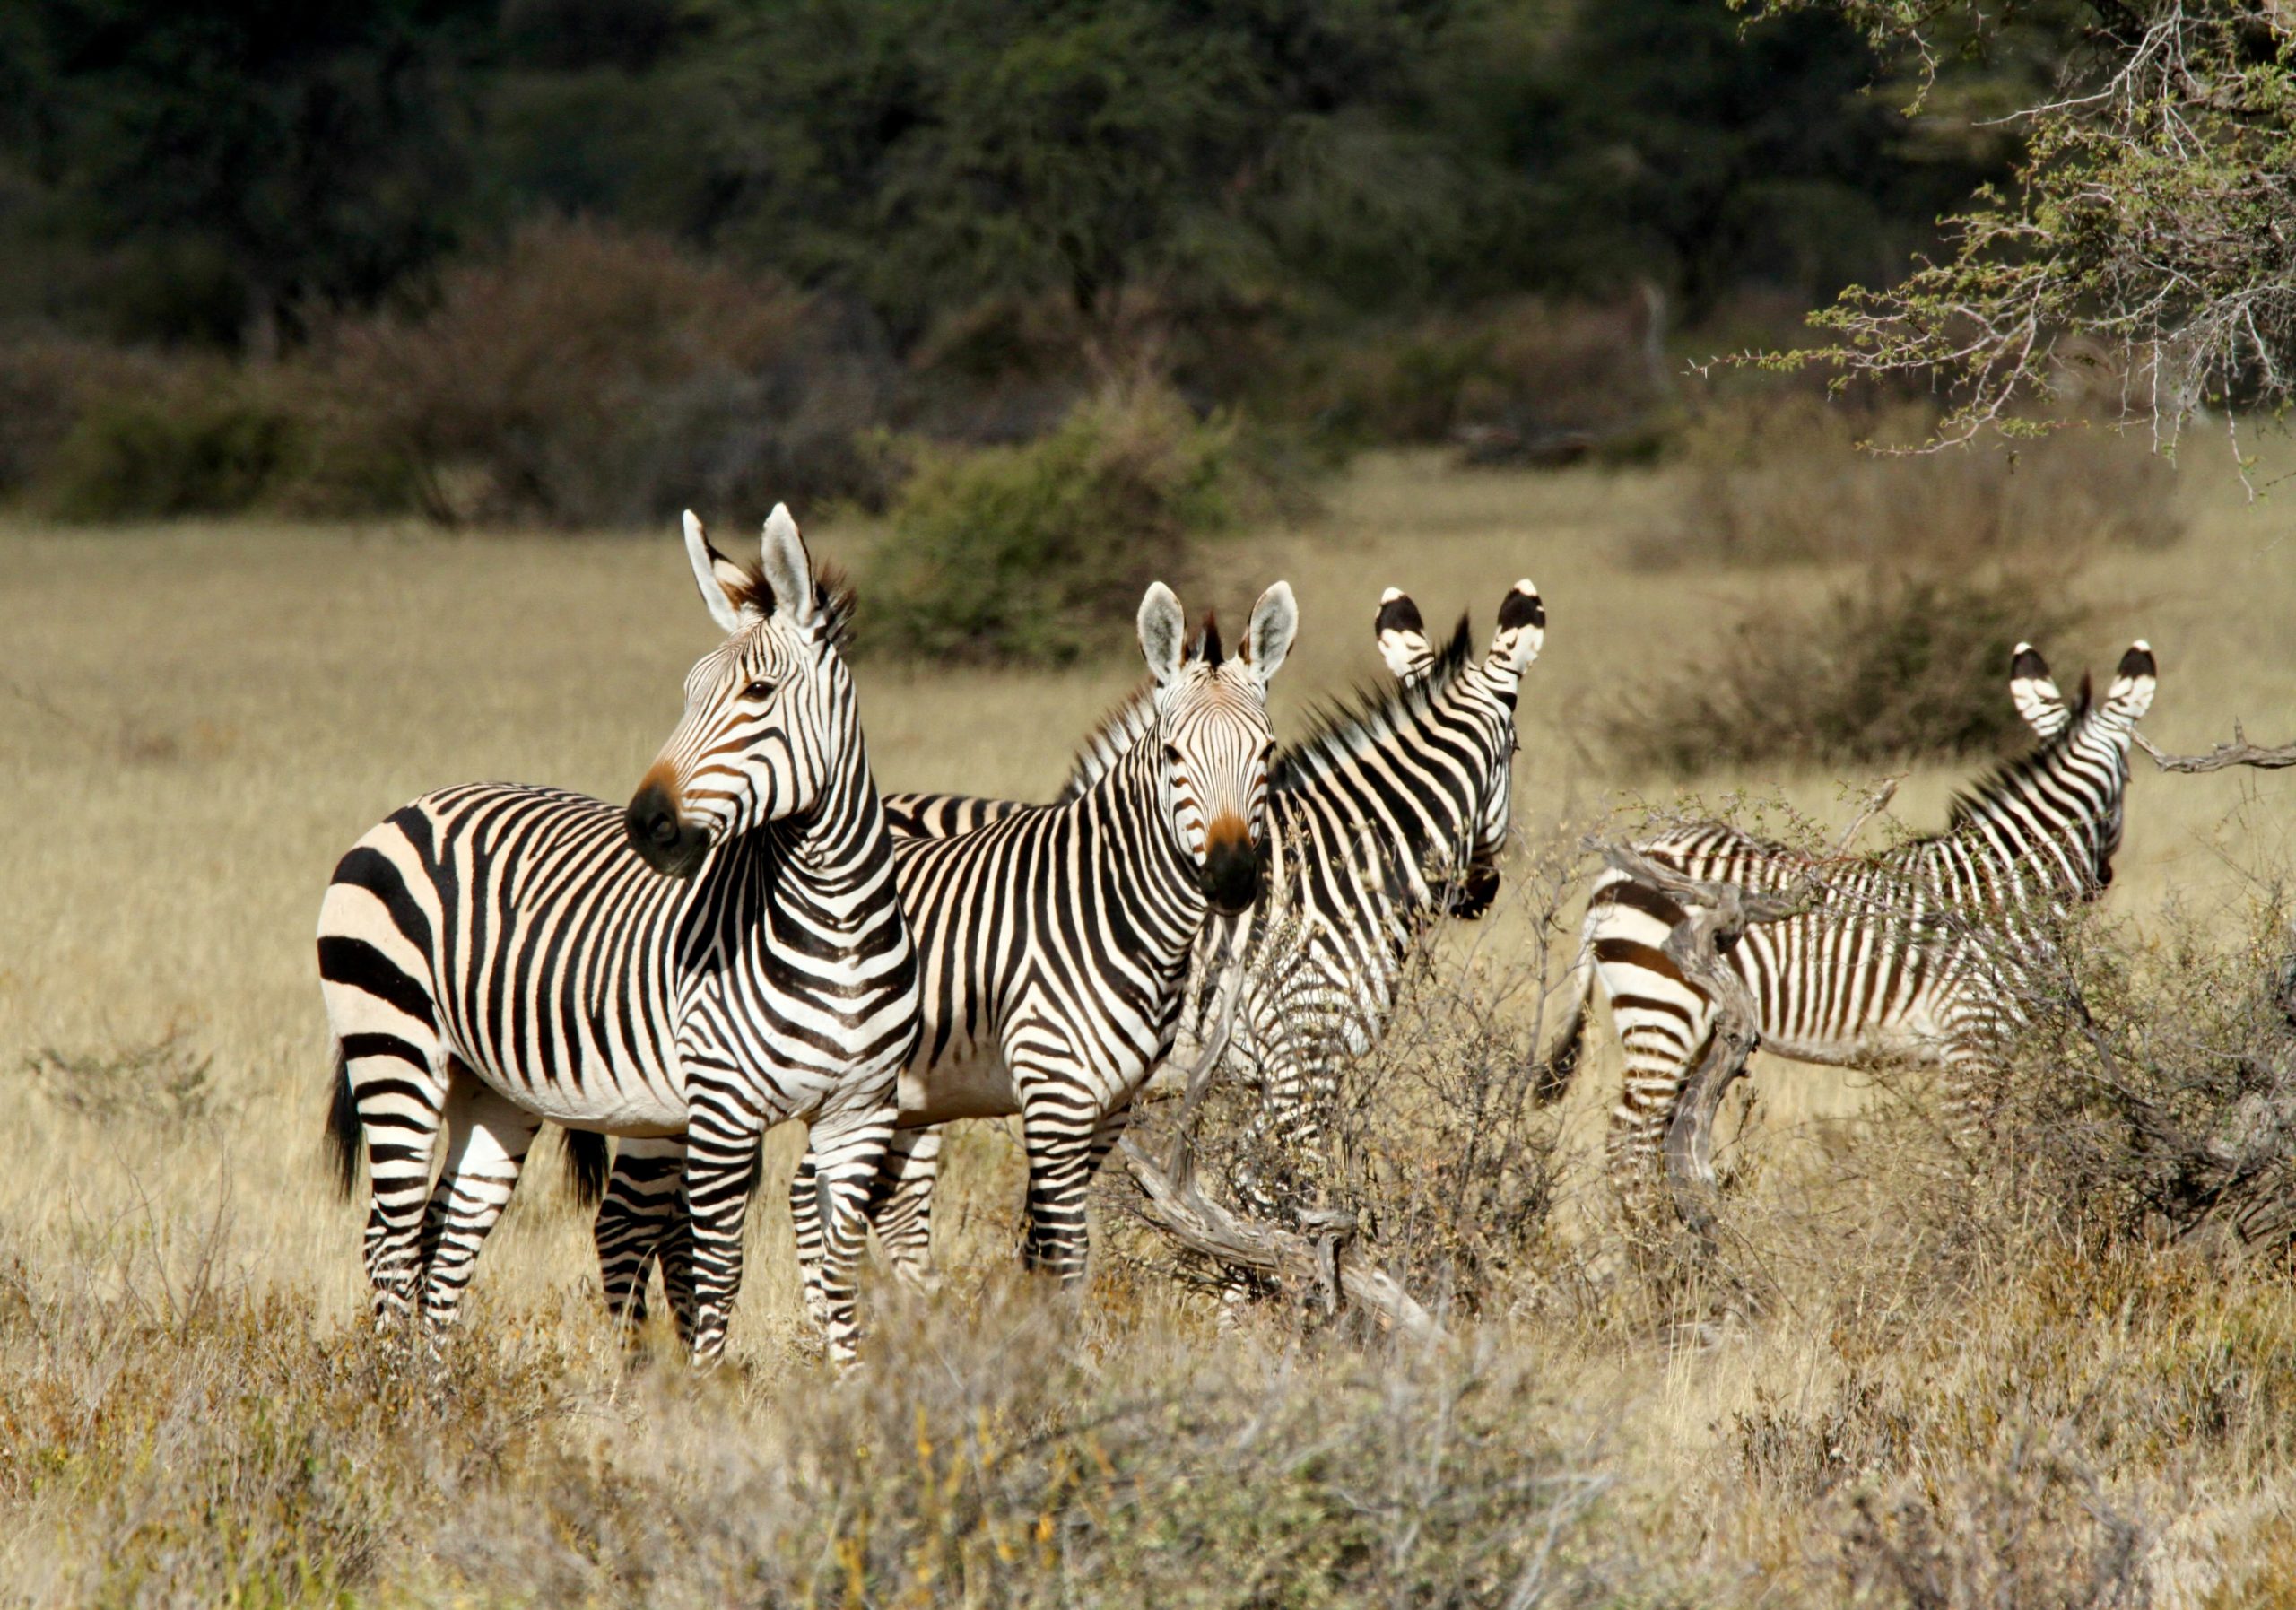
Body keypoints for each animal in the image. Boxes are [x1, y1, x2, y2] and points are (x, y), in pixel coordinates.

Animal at [317, 507, 923, 1359]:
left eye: (759, 690)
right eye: (689, 693)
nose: (647, 824)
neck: (836, 922)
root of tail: (405, 809)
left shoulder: (860, 1112)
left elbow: (838, 1269)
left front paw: (851, 1383)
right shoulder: (725, 1110)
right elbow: (718, 1271)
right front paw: (709, 1387)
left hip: (490, 1088)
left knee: (444, 1241)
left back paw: (436, 1388)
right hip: (393, 1050)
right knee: (389, 1241)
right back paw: (389, 1385)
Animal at [583, 579, 1304, 1322]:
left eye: (1267, 752)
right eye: (1172, 756)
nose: (1232, 877)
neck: (1104, 897)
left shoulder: (1113, 1105)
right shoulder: (1055, 1091)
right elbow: (1064, 1251)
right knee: (630, 1221)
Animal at [1543, 638, 2149, 1185]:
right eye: (2127, 783)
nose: (2102, 882)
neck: (1999, 882)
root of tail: (1618, 867)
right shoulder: (1972, 1038)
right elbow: (1976, 1159)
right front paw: (1981, 1228)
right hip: (1661, 1011)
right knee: (1627, 1147)